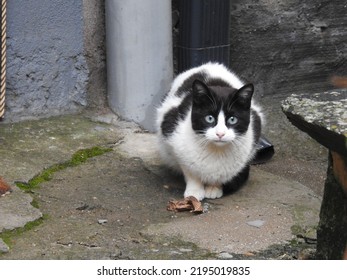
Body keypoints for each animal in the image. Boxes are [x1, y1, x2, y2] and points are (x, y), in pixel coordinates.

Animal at [156, 62, 262, 200]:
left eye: (232, 119)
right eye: (209, 118)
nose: (220, 134)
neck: (216, 151)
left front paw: (214, 188)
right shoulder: (172, 132)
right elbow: (190, 170)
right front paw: (194, 191)